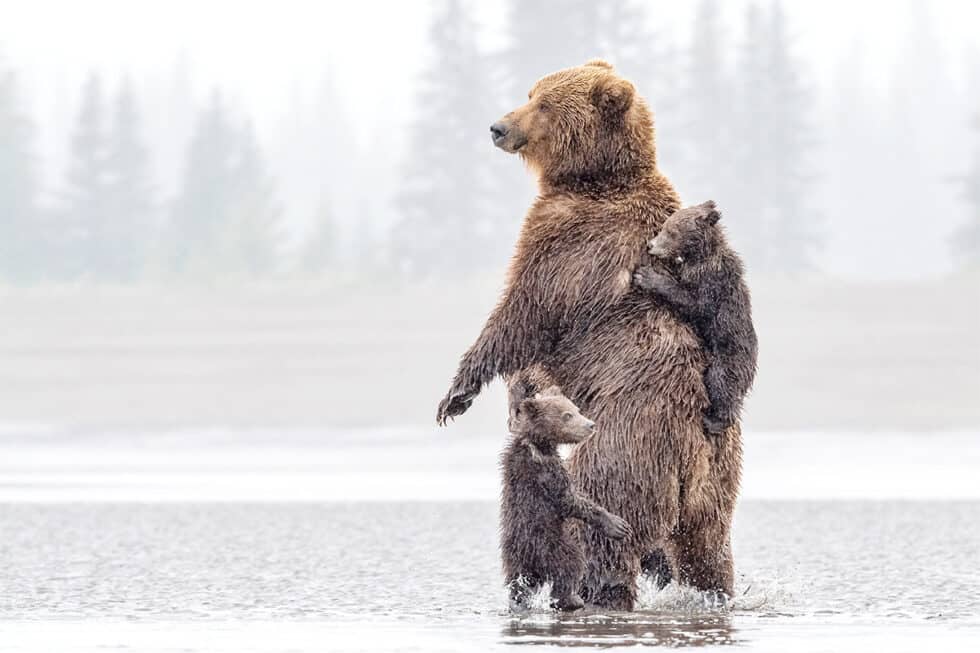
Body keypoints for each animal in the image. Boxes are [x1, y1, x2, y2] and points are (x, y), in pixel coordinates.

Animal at [438, 58, 744, 608]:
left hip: (625, 445)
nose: (497, 127)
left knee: (601, 521)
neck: (594, 179)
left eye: (543, 104)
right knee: (708, 549)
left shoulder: (571, 245)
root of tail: (694, 452)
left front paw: (456, 394)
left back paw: (595, 587)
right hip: (719, 484)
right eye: (531, 92)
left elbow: (522, 313)